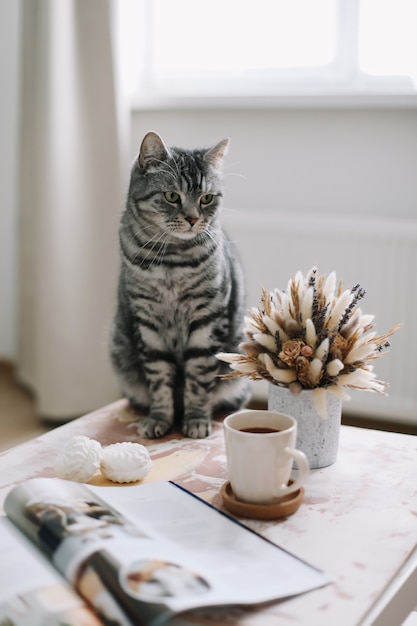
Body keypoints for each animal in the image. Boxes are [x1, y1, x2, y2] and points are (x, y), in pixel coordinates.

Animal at [109, 129, 249, 436]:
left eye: (206, 198)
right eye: (172, 196)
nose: (193, 219)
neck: (171, 261)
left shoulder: (207, 318)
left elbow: (199, 377)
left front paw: (195, 419)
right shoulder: (147, 320)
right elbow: (159, 378)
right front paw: (160, 418)